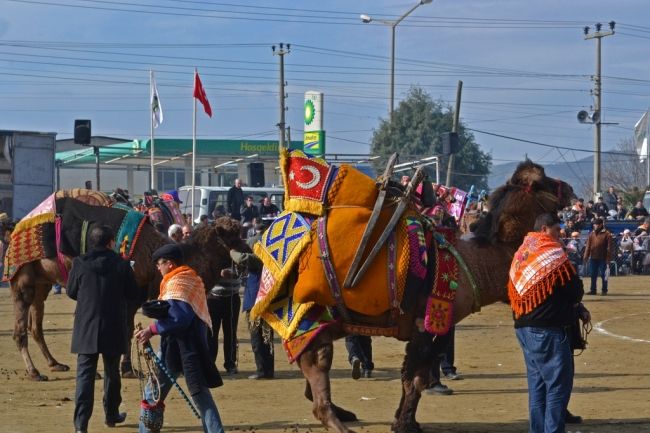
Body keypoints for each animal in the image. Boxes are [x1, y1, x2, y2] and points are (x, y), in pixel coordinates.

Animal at [4, 191, 238, 380]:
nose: (245, 254)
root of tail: (16, 228)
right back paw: (34, 372)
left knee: (36, 325)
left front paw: (126, 368)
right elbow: (120, 329)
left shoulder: (135, 295)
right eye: (233, 236)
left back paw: (55, 364)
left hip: (42, 280)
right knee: (20, 327)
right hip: (23, 276)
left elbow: (127, 329)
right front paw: (121, 369)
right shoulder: (127, 291)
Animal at [248, 149, 572, 432]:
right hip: (305, 316)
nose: (569, 188)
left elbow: (413, 377)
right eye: (542, 179)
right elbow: (414, 379)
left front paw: (407, 421)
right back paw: (340, 423)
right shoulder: (426, 325)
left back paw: (346, 412)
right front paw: (404, 424)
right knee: (318, 373)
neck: (472, 263)